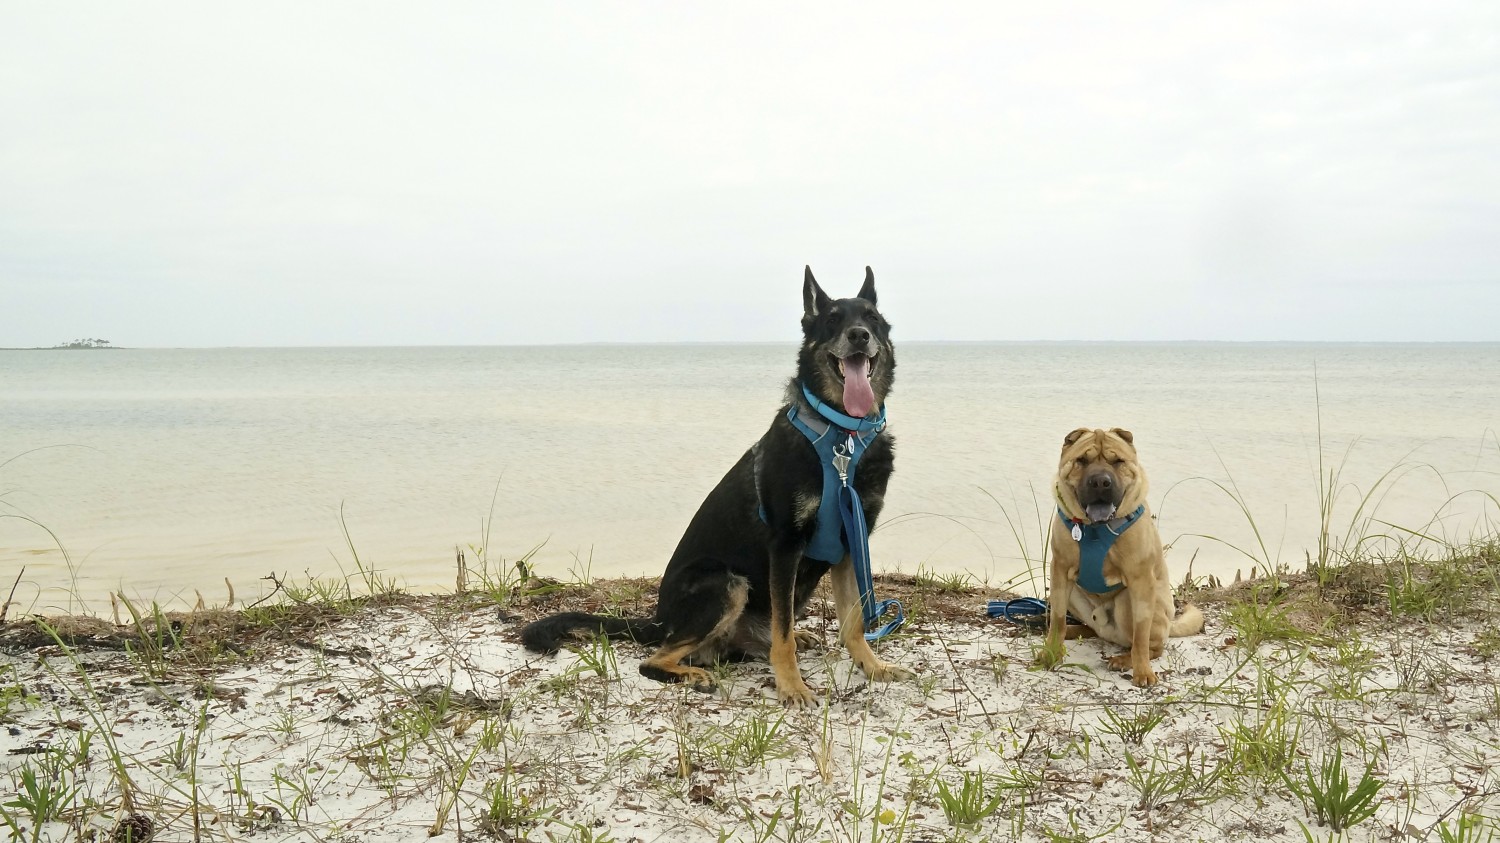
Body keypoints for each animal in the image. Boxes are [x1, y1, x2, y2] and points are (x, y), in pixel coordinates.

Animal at [1038, 426, 1200, 684]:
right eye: (1082, 461)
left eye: (1118, 462)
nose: (1100, 482)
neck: (1095, 529)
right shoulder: (1059, 571)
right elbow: (1058, 620)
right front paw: (1051, 652)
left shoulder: (1140, 580)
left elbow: (1141, 637)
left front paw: (1142, 671)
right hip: (1073, 596)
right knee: (1093, 629)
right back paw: (1076, 631)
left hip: (1128, 605)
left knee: (1150, 645)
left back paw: (1124, 659)